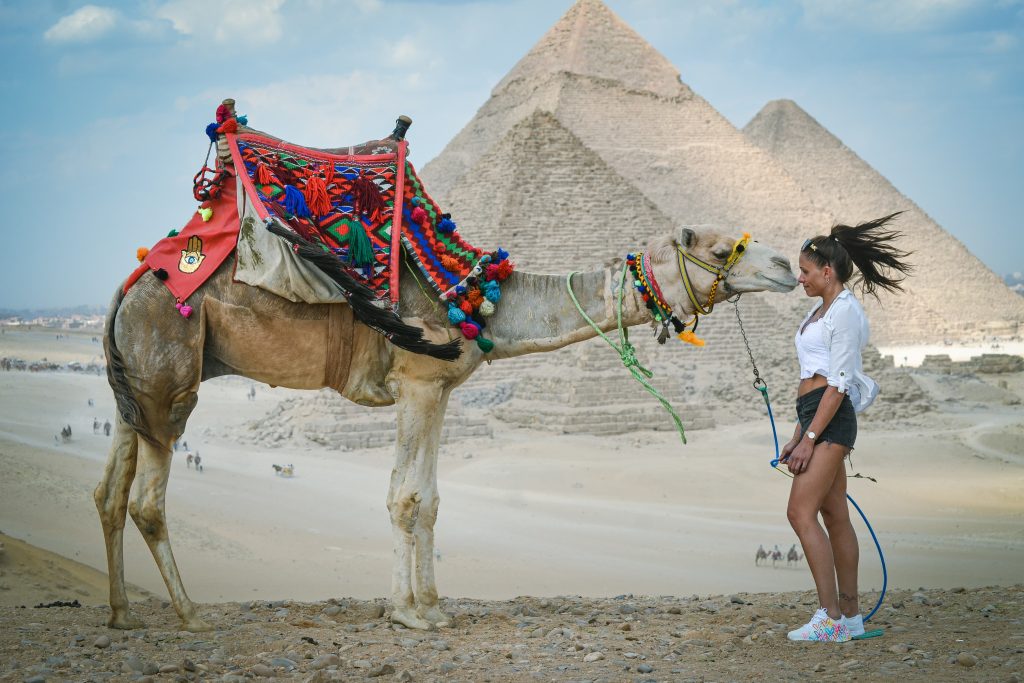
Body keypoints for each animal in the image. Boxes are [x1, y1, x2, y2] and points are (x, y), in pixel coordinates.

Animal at [96, 225, 797, 632]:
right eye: (718, 249)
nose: (789, 265)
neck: (483, 303)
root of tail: (126, 288)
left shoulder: (440, 393)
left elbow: (430, 499)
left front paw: (432, 603)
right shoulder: (417, 382)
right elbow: (404, 498)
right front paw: (408, 614)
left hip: (136, 386)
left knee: (109, 494)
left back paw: (124, 613)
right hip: (171, 375)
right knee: (147, 499)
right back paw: (189, 613)